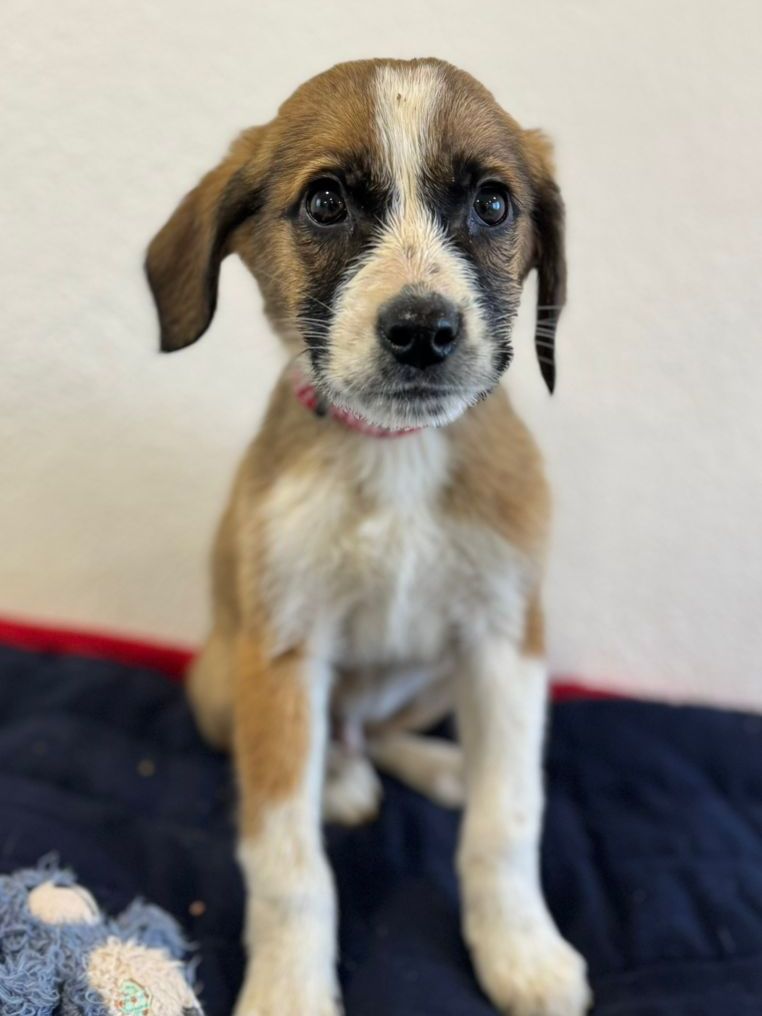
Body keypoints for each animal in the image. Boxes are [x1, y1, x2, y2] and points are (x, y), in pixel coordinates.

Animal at [146, 57, 590, 1016]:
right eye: (325, 202)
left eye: (493, 204)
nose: (423, 331)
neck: (396, 455)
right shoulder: (282, 653)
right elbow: (287, 862)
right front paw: (288, 991)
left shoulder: (506, 642)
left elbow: (508, 818)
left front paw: (521, 949)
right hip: (223, 683)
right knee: (331, 743)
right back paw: (341, 781)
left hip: (437, 678)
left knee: (380, 732)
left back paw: (441, 767)